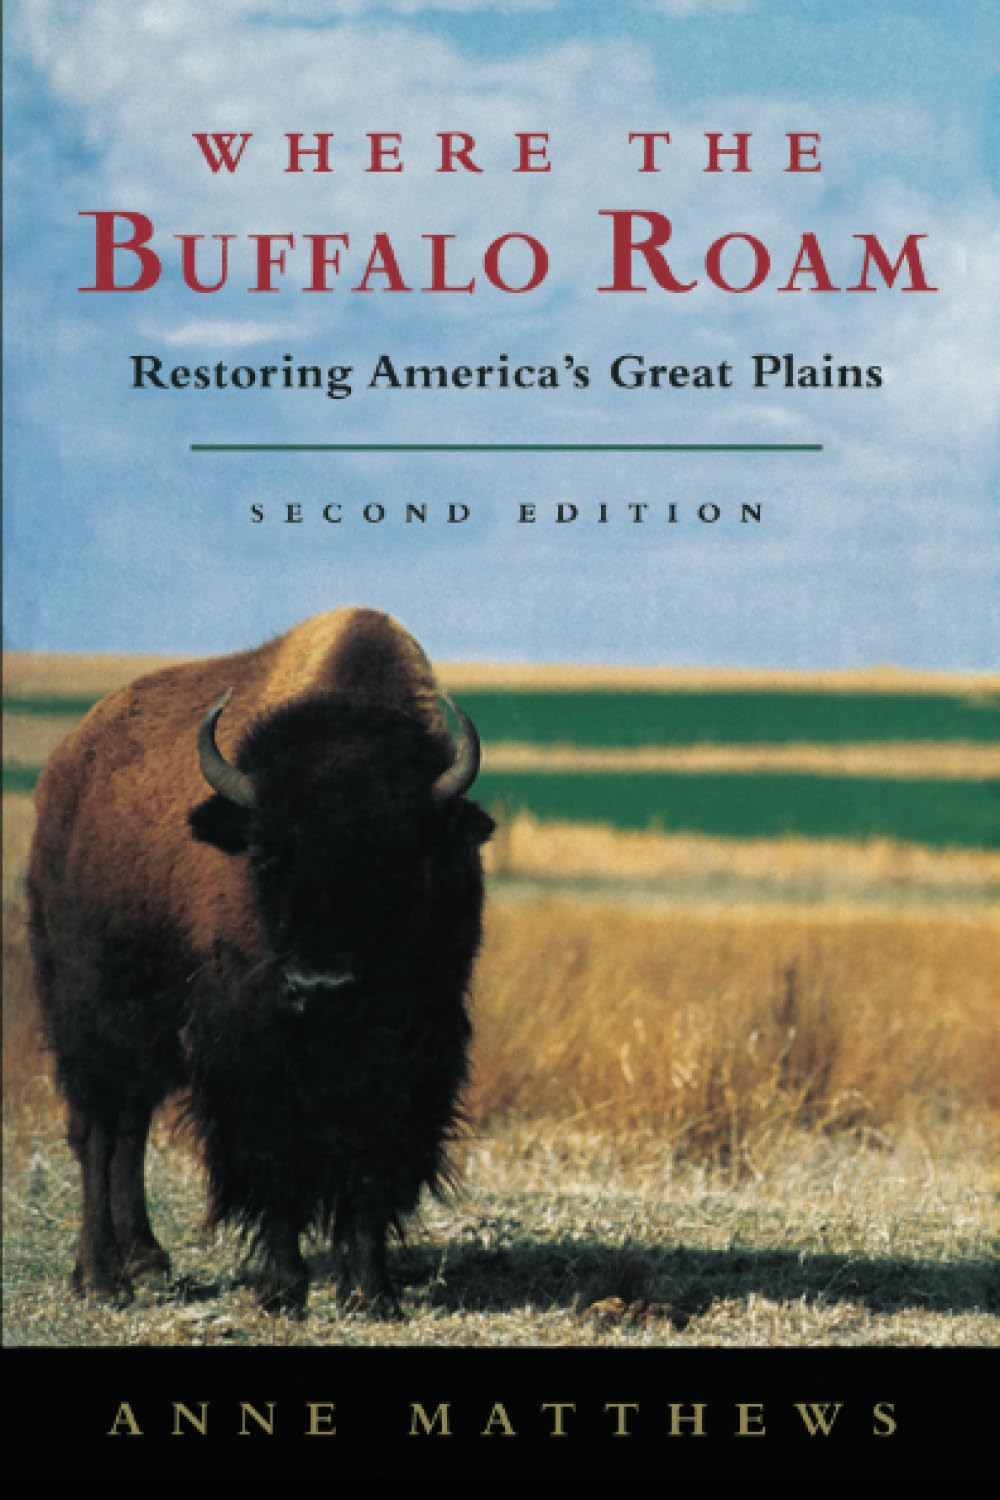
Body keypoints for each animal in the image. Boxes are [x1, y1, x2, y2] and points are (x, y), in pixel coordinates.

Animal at [28, 607, 493, 1313]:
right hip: (90, 1009)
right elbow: (276, 1160)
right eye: (268, 856)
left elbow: (370, 1158)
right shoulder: (250, 1050)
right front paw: (283, 1288)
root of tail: (66, 772)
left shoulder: (414, 1044)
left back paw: (148, 1262)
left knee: (131, 1127)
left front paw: (370, 1290)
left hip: (147, 1031)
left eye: (392, 862)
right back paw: (103, 1278)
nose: (321, 986)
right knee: (98, 1129)